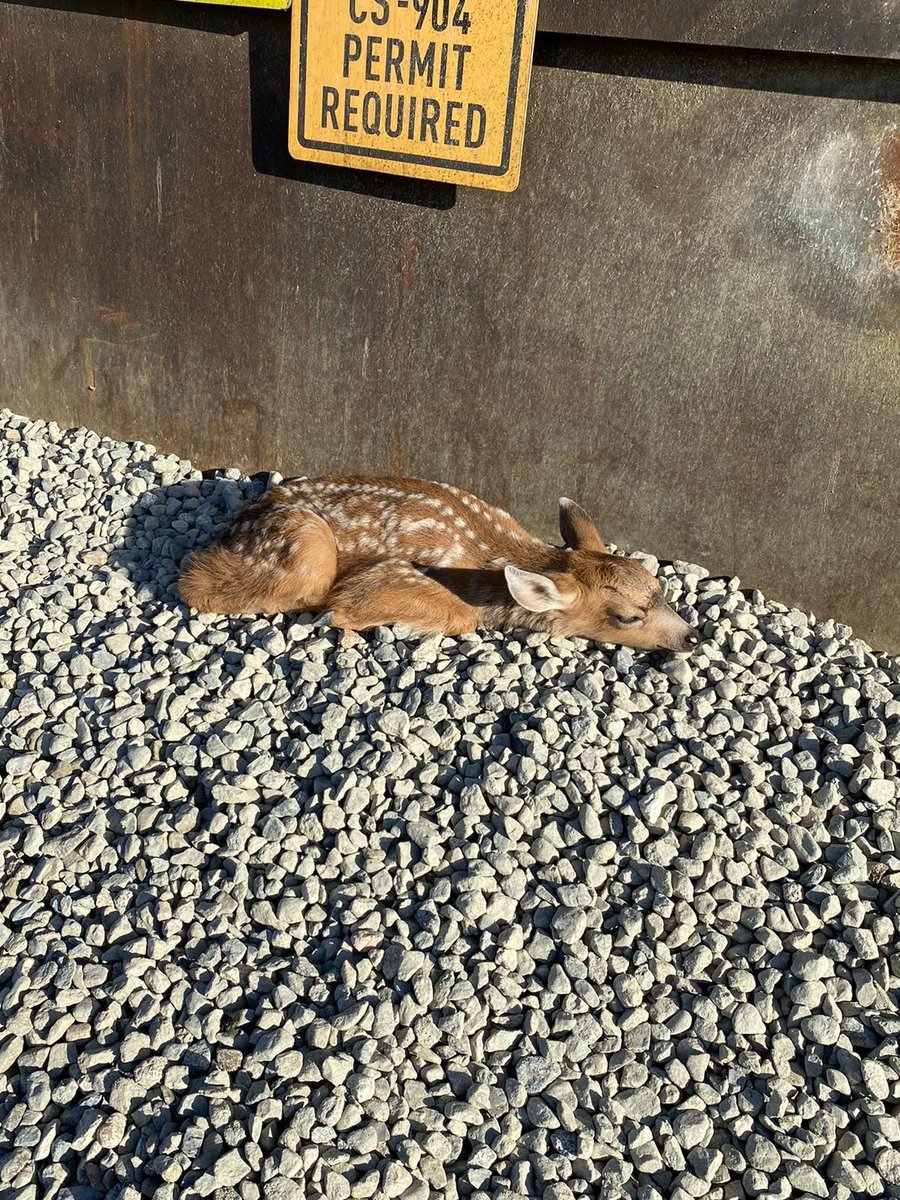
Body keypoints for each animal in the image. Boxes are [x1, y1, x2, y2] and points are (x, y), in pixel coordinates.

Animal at [178, 476, 701, 653]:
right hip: (306, 548)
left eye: (659, 586)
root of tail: (240, 520)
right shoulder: (393, 574)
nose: (692, 638)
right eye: (628, 617)